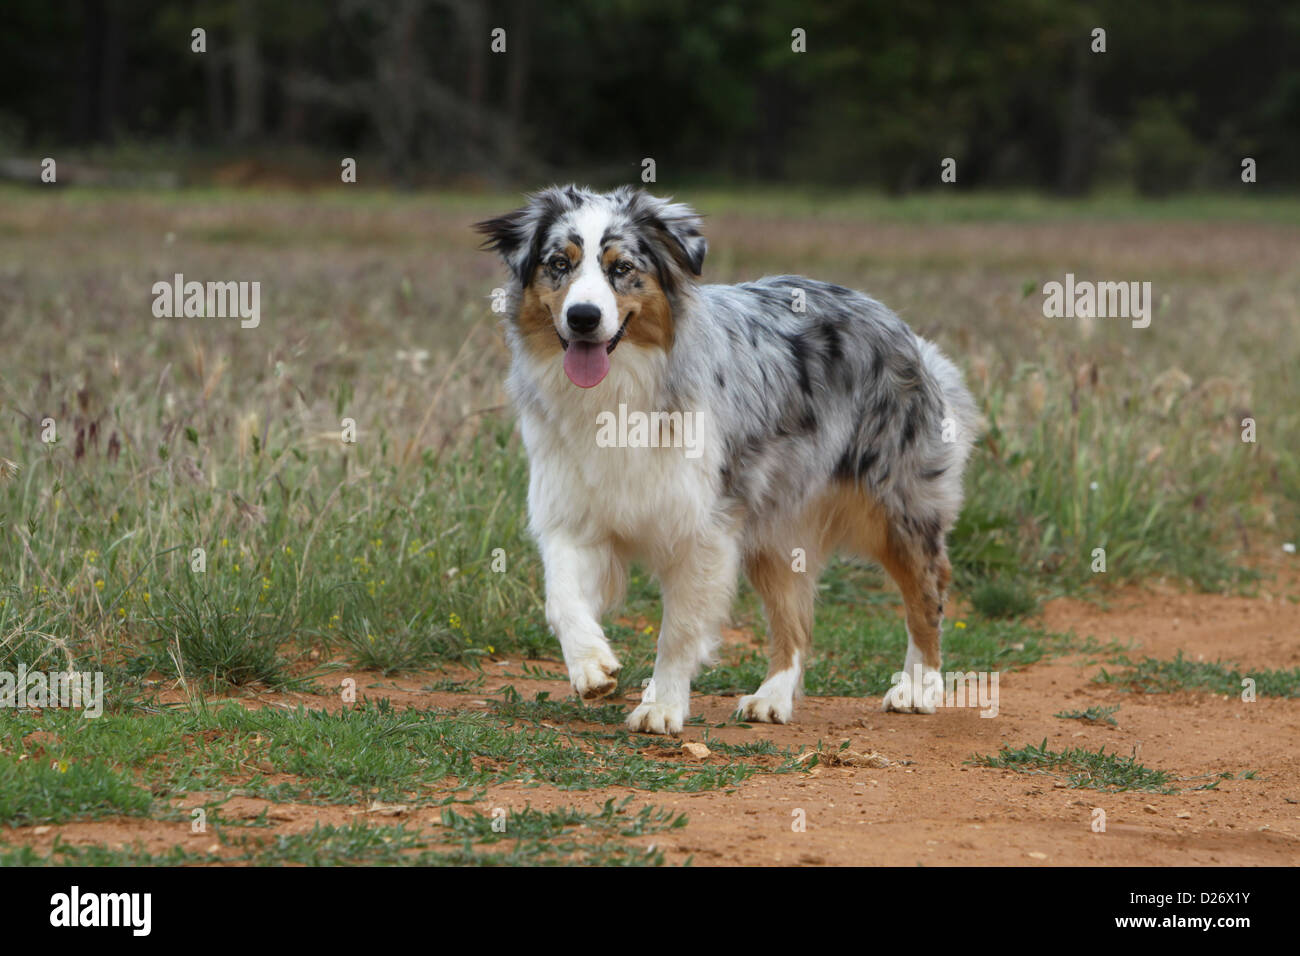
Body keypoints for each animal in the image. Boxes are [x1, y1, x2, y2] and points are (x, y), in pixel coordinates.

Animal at [475, 184, 977, 733]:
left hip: (896, 507)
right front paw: (591, 665)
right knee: (795, 621)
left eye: (622, 267)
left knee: (927, 591)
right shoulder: (573, 513)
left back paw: (918, 686)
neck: (619, 391)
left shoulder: (703, 528)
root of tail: (902, 328)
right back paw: (772, 696)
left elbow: (678, 630)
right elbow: (560, 597)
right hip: (776, 529)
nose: (582, 317)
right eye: (558, 264)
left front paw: (662, 705)